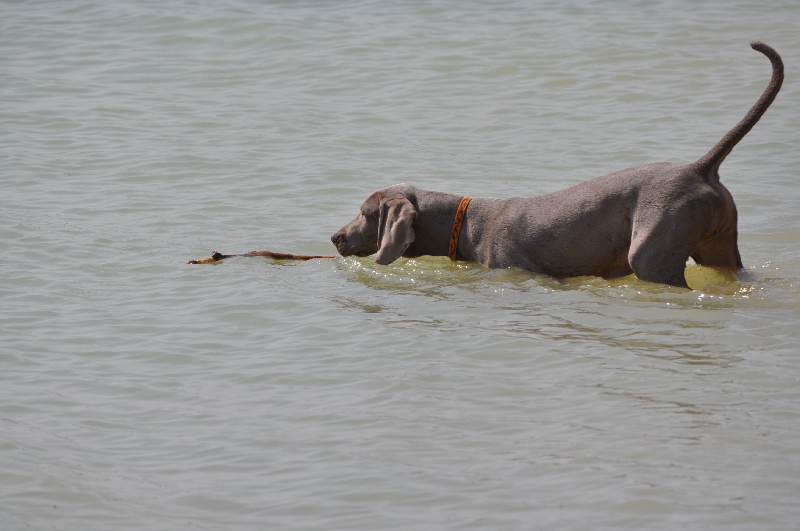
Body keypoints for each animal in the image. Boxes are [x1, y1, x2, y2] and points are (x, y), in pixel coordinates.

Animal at [330, 43, 780, 288]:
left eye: (366, 213)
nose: (334, 238)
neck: (467, 222)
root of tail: (700, 168)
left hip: (653, 254)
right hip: (721, 248)